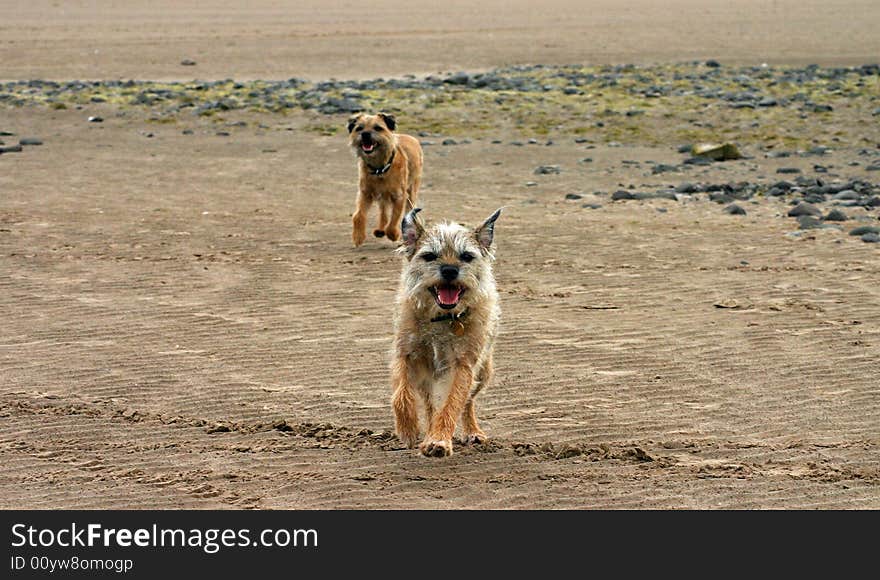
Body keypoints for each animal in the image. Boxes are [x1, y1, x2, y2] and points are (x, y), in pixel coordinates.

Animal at [348, 114, 422, 247]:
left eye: (378, 128)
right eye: (359, 128)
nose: (365, 134)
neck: (380, 169)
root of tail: (412, 138)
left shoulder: (399, 196)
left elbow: (395, 218)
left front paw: (393, 234)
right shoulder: (365, 194)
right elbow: (358, 215)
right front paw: (358, 236)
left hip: (412, 191)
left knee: (408, 210)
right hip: (382, 197)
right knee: (383, 212)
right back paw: (380, 229)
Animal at [390, 206, 506, 456]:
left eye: (467, 256)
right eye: (430, 256)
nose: (450, 270)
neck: (443, 318)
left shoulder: (462, 365)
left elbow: (452, 403)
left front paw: (439, 440)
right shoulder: (405, 354)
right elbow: (401, 394)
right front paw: (408, 428)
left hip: (483, 372)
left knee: (467, 402)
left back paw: (472, 431)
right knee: (429, 403)